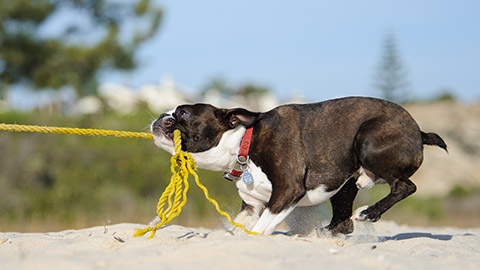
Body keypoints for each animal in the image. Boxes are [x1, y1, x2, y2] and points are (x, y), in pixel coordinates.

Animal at [149, 96, 446, 234]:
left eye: (184, 113)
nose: (162, 115)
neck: (245, 143)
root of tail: (418, 131)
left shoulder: (287, 192)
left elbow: (258, 230)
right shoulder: (252, 207)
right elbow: (239, 229)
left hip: (369, 140)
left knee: (405, 186)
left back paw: (368, 213)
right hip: (346, 182)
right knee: (343, 220)